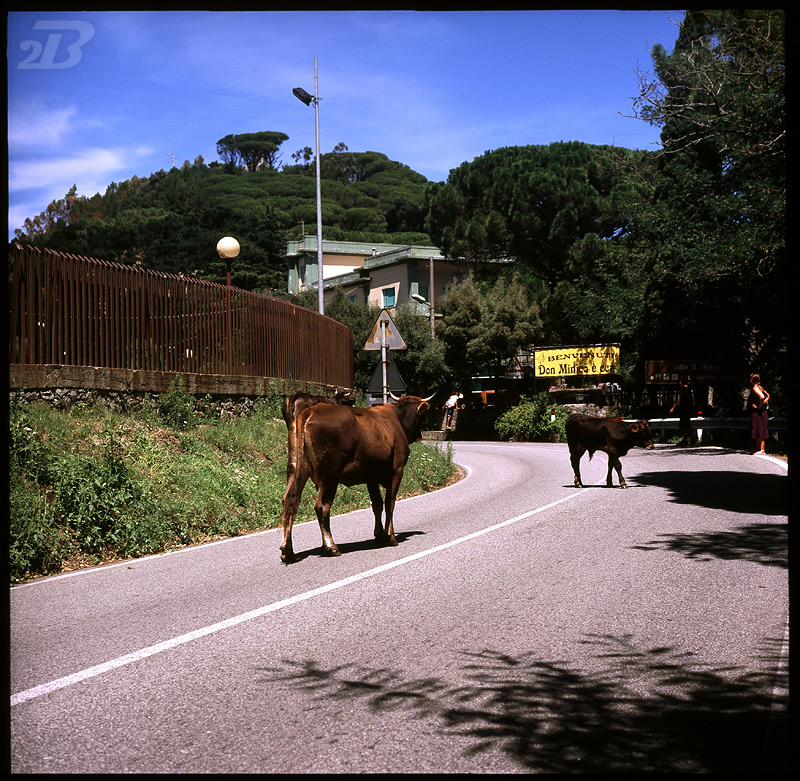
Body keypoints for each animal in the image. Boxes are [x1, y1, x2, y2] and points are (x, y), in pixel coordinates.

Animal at [280, 396, 432, 560]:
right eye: (421, 416)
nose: (420, 435)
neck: (397, 420)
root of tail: (310, 411)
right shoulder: (397, 471)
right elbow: (389, 503)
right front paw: (390, 536)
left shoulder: (371, 477)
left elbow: (377, 505)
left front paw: (380, 535)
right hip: (330, 475)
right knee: (321, 506)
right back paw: (331, 546)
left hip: (296, 469)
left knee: (289, 502)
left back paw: (287, 550)